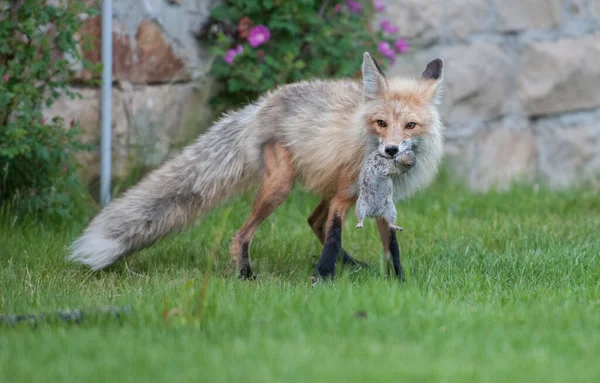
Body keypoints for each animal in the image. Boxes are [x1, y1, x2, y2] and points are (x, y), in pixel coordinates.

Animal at [70, 52, 446, 282]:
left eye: (410, 126)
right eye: (381, 123)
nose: (391, 150)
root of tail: (261, 105)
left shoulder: (381, 202)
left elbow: (391, 247)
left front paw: (398, 282)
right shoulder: (346, 197)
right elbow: (336, 235)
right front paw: (324, 279)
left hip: (325, 185)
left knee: (314, 221)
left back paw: (351, 264)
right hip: (281, 187)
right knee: (244, 233)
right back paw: (245, 275)